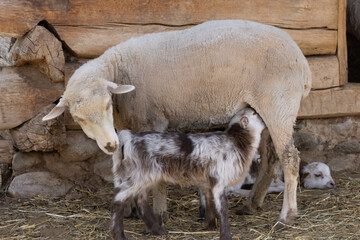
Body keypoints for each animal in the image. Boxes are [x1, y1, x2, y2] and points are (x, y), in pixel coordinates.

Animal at [43, 19, 312, 226]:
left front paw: (159, 214)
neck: (120, 72)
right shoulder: (126, 126)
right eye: (78, 118)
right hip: (264, 108)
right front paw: (129, 208)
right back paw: (252, 204)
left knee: (289, 158)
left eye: (107, 104)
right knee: (271, 157)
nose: (109, 144)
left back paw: (287, 216)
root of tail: (302, 60)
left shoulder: (152, 121)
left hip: (279, 103)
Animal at [111, 108, 266, 240]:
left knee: (140, 199)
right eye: (254, 113)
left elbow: (209, 201)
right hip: (140, 175)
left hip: (146, 176)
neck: (236, 142)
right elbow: (223, 207)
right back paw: (118, 234)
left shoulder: (208, 182)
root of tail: (130, 136)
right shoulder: (219, 181)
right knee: (119, 198)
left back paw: (157, 230)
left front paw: (210, 226)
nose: (265, 119)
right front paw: (225, 235)